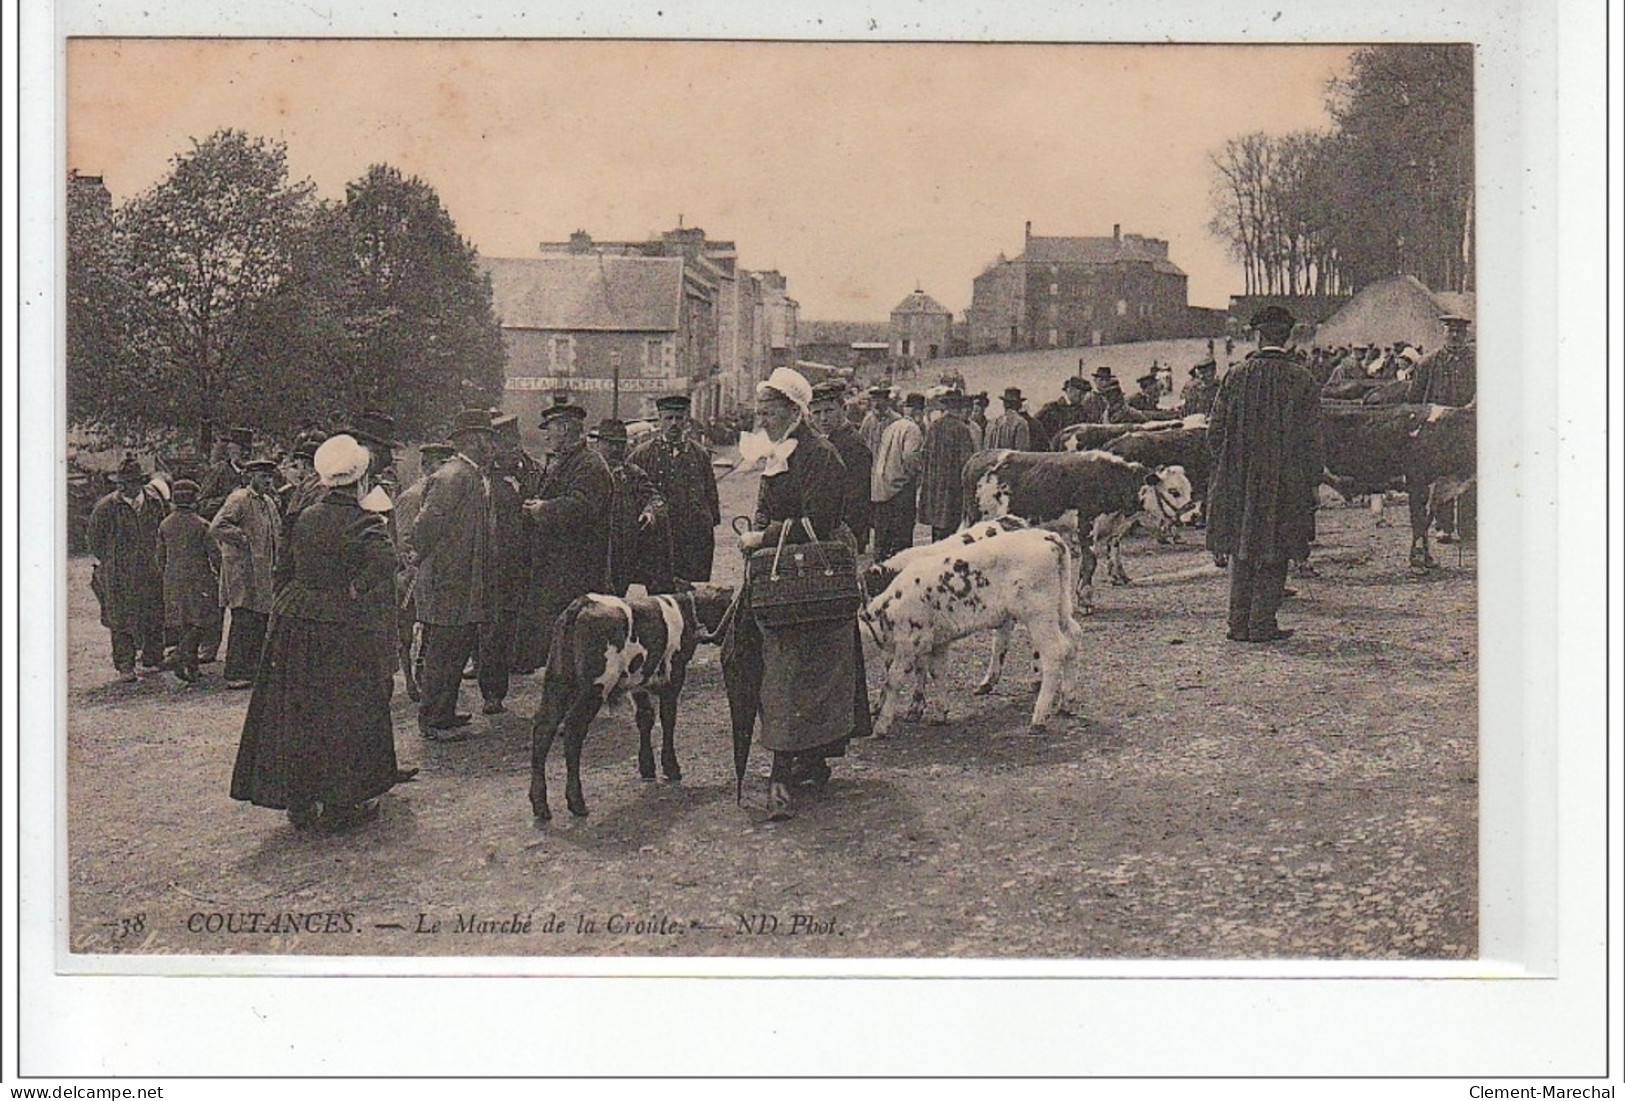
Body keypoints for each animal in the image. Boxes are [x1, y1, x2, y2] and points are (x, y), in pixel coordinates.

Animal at [529, 591, 734, 824]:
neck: (685, 609)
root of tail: (582, 603)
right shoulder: (673, 677)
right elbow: (668, 719)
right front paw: (672, 767)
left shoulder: (638, 685)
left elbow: (645, 718)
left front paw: (647, 767)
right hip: (595, 687)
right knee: (573, 729)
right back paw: (576, 802)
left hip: (557, 680)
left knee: (543, 728)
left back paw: (540, 805)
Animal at [858, 529, 1085, 737]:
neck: (888, 609)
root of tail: (1049, 538)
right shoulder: (938, 642)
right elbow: (937, 672)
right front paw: (940, 713)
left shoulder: (910, 644)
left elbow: (893, 680)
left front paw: (882, 725)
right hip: (1060, 605)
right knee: (1073, 637)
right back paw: (1067, 701)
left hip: (1038, 613)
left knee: (1055, 653)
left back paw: (1039, 718)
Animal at [955, 444, 1202, 607]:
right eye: (1173, 491)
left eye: (1188, 489)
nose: (1195, 515)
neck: (1110, 481)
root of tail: (978, 456)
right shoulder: (1086, 525)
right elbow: (1090, 561)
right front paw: (1084, 598)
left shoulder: (1113, 527)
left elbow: (1114, 549)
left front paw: (1118, 576)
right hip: (978, 518)